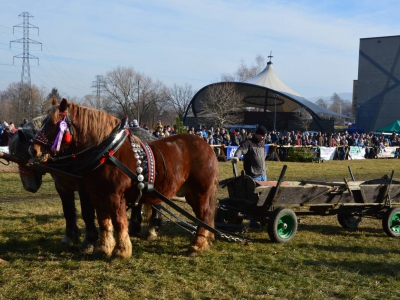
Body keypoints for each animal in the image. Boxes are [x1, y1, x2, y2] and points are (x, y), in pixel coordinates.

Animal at [30, 98, 219, 258]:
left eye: (53, 124)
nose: (33, 150)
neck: (107, 151)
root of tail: (207, 146)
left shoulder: (115, 195)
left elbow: (119, 222)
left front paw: (121, 251)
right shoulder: (97, 195)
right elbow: (104, 222)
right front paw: (103, 248)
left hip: (200, 191)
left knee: (204, 214)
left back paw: (196, 246)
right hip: (191, 193)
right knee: (204, 216)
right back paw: (206, 240)